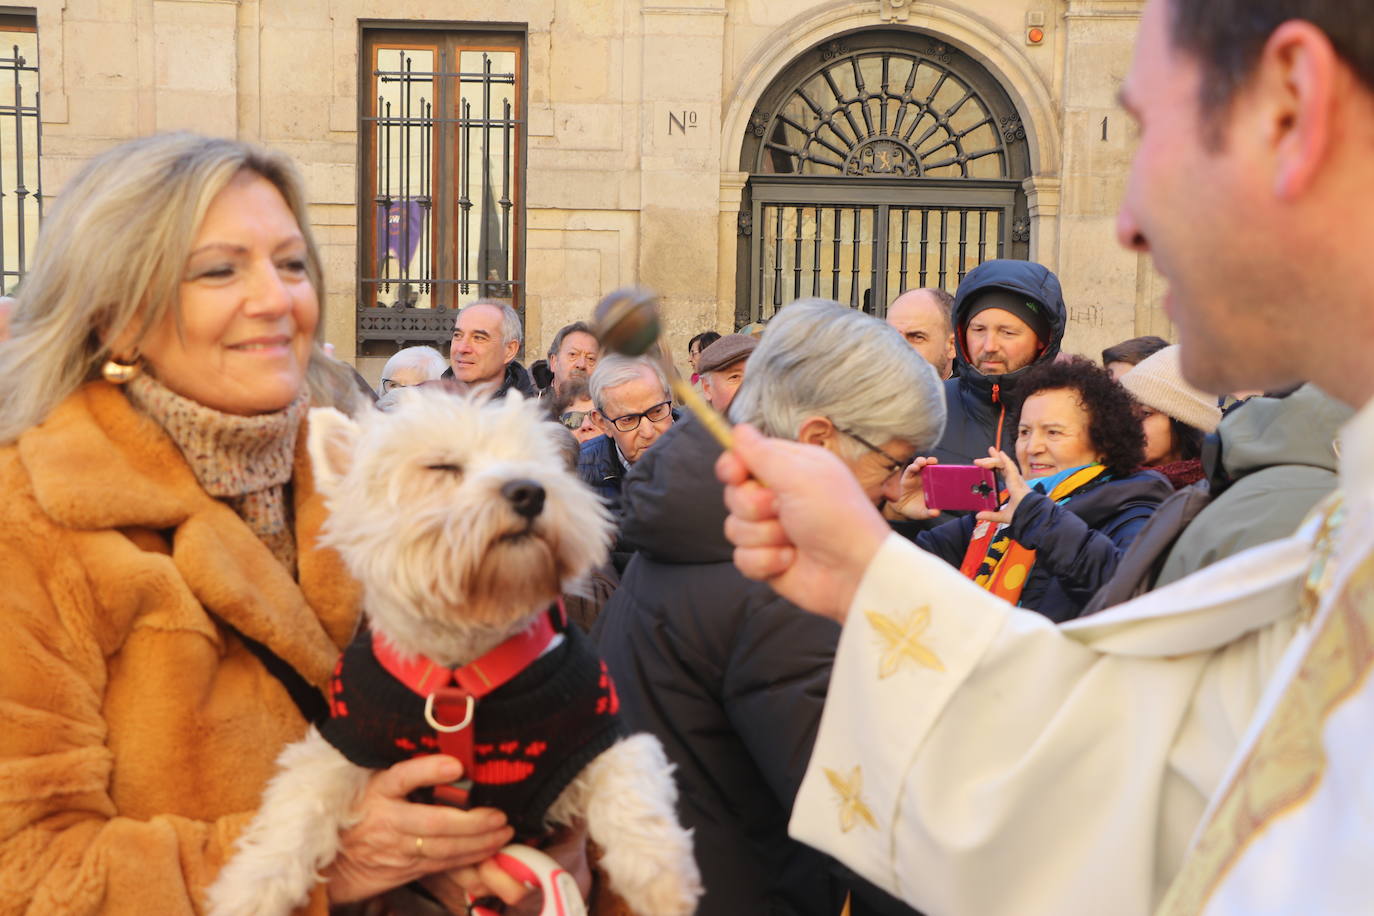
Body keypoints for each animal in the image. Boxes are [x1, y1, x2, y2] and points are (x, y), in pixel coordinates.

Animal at [208, 390, 703, 916]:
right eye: (442, 466)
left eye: (535, 462)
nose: (529, 491)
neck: (462, 670)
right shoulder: (347, 741)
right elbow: (298, 804)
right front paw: (247, 891)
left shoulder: (590, 732)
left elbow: (632, 785)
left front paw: (662, 881)